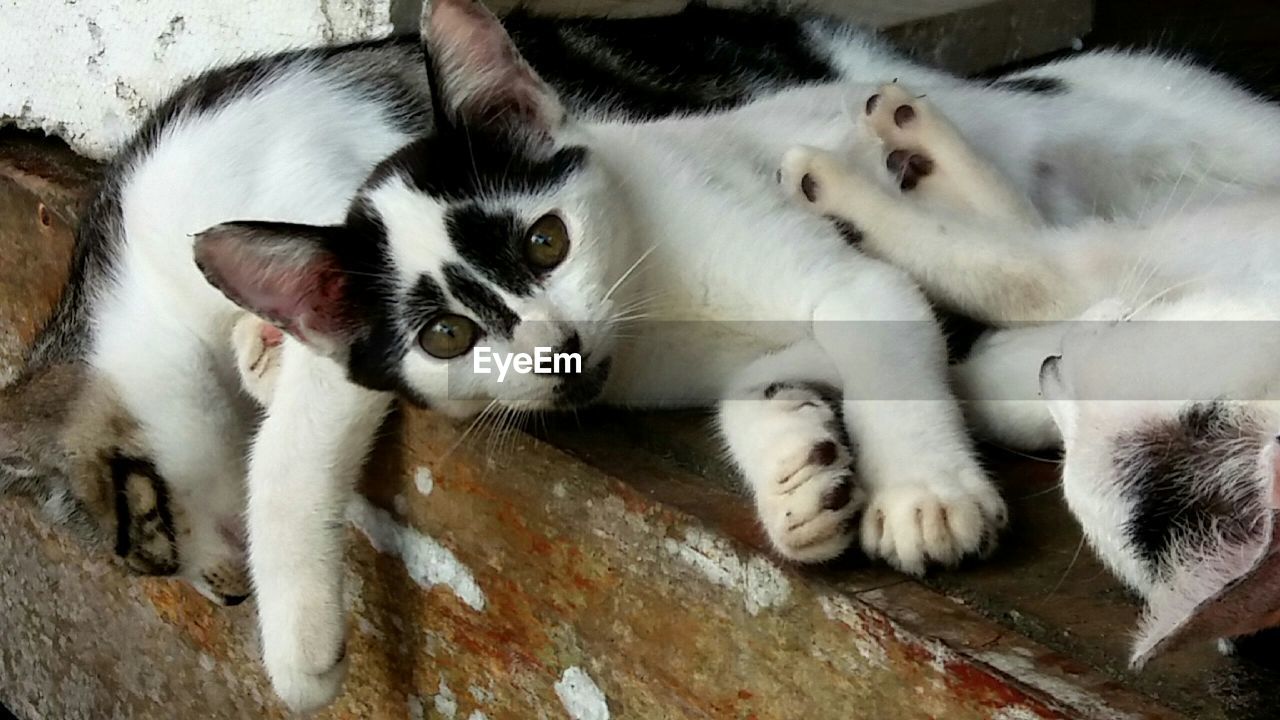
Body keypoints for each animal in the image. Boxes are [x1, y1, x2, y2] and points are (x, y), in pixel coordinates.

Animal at [773, 78, 1280, 661]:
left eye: (1079, 412)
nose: (1053, 362)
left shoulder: (1078, 272)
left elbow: (993, 265)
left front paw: (829, 187)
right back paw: (912, 134)